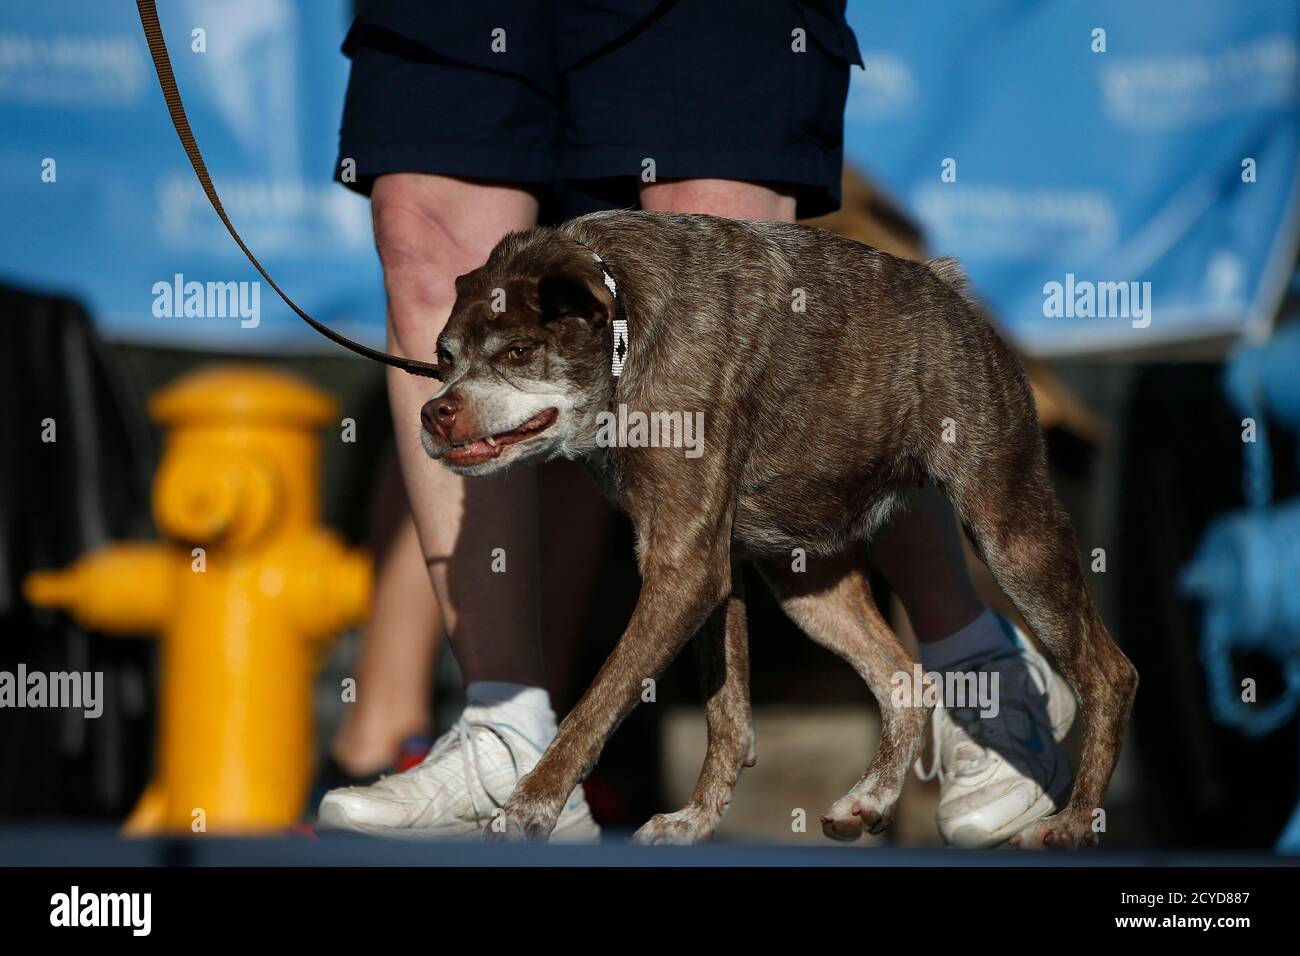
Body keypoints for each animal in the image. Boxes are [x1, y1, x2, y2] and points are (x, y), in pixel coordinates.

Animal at [418, 208, 1138, 842]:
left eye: (518, 351)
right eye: (443, 357)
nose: (434, 412)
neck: (626, 320)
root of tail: (950, 290)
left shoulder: (685, 571)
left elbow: (596, 705)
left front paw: (531, 807)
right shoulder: (706, 564)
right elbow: (727, 713)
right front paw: (695, 819)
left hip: (1011, 535)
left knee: (1110, 674)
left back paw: (1074, 822)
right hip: (806, 583)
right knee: (904, 680)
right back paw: (869, 798)